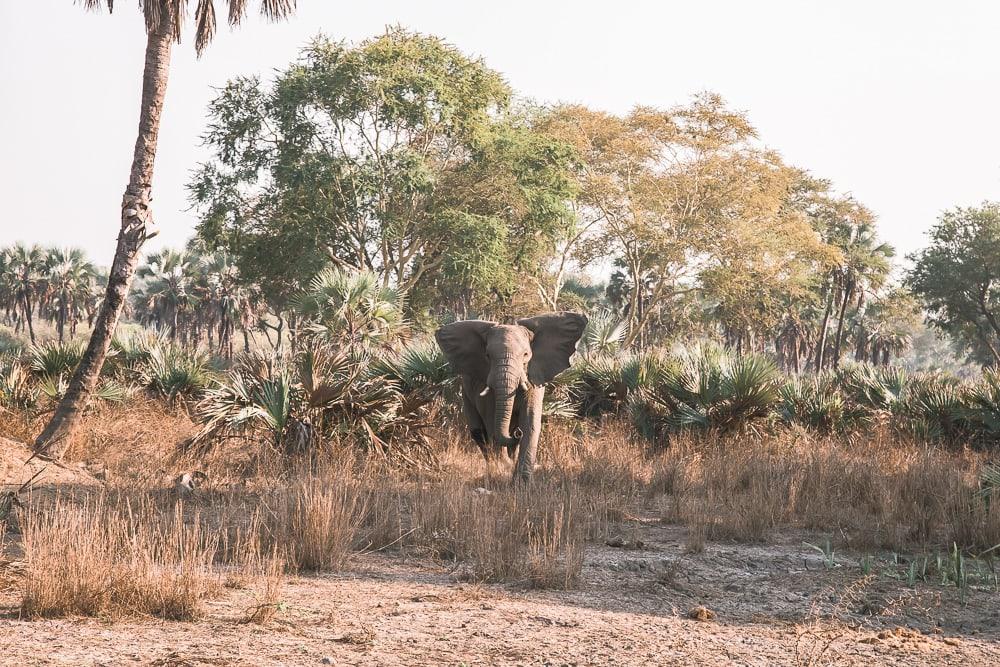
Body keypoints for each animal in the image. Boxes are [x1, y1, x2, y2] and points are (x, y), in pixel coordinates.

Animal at [436, 312, 584, 480]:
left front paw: (521, 481)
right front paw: (503, 470)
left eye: (526, 355)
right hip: (466, 395)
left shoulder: (534, 377)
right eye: (488, 355)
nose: (516, 433)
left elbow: (530, 422)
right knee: (479, 433)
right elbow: (491, 422)